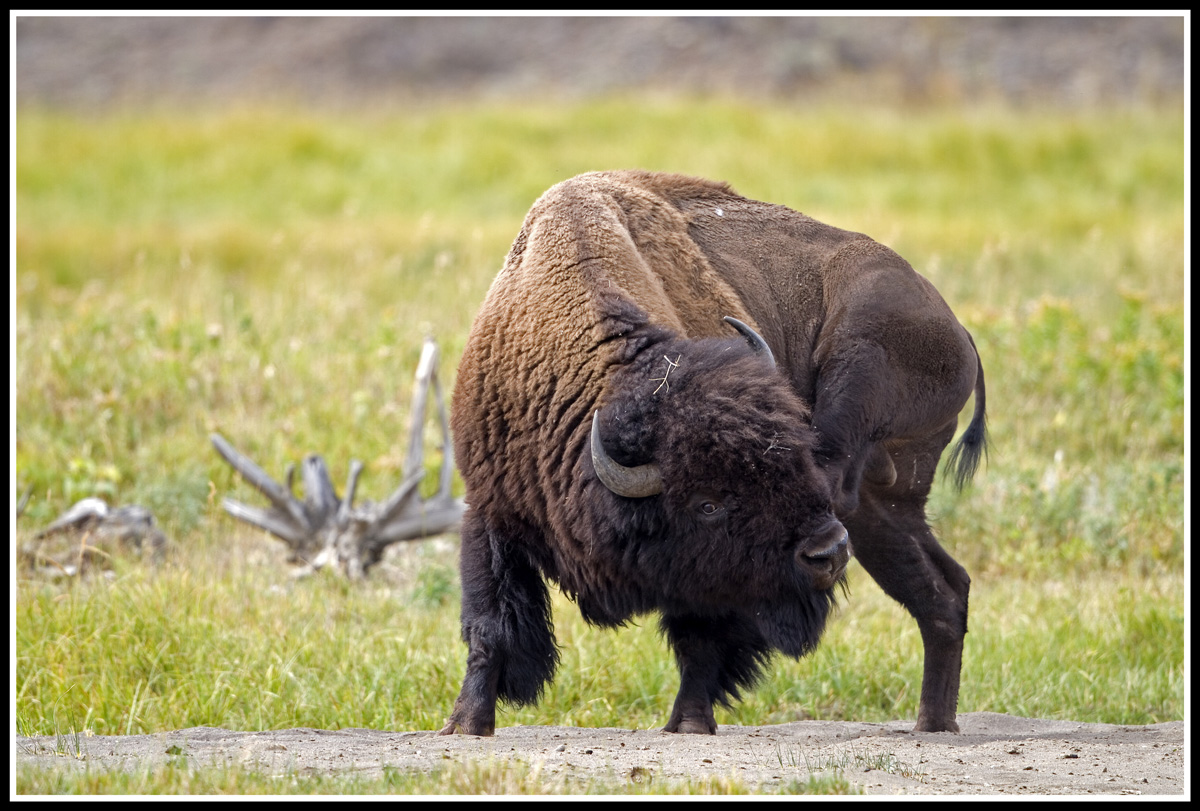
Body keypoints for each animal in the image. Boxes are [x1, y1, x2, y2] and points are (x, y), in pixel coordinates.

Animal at [440, 170, 986, 736]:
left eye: (797, 460)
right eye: (708, 503)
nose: (828, 554)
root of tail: (957, 331)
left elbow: (701, 641)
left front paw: (689, 723)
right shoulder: (489, 511)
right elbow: (488, 624)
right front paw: (466, 724)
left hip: (858, 434)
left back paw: (932, 723)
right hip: (883, 512)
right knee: (945, 590)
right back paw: (934, 723)